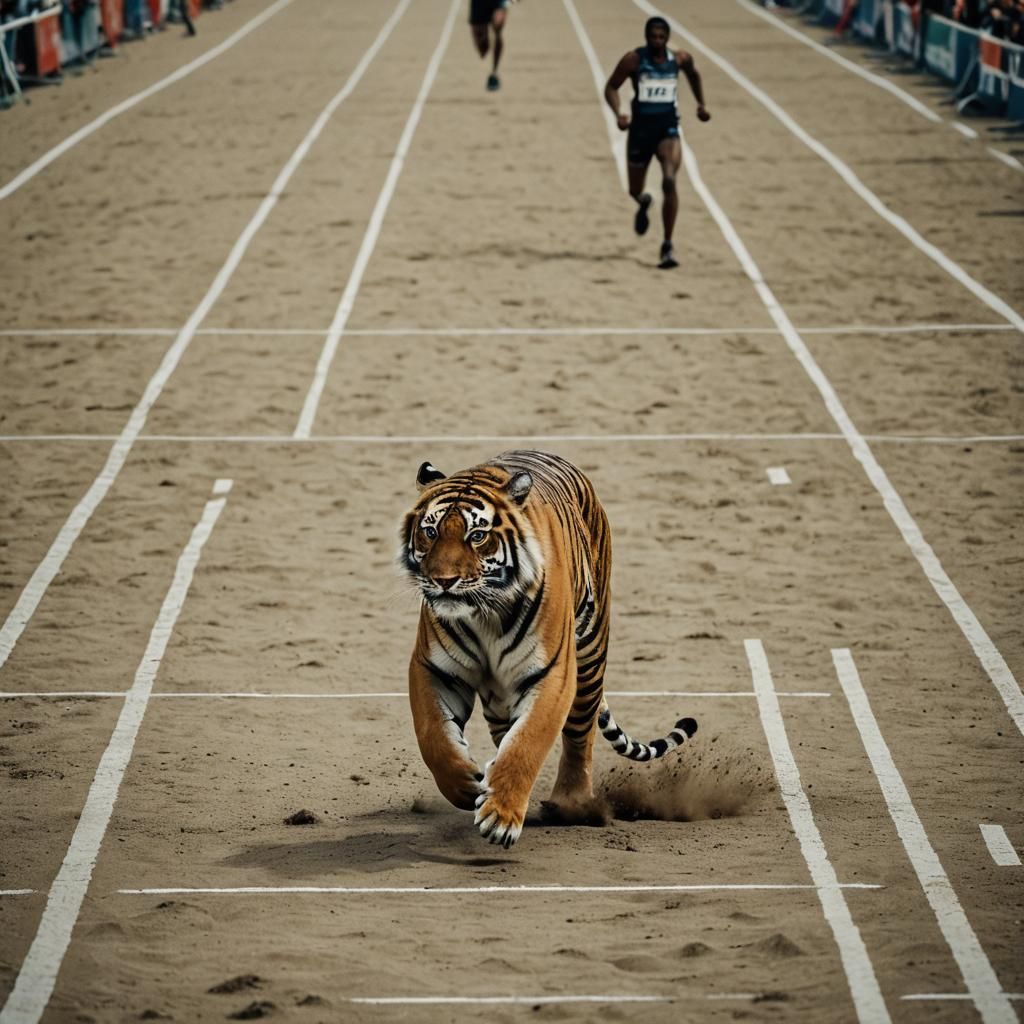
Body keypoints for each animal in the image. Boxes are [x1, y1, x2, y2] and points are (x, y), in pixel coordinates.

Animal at [398, 450, 697, 848]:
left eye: (477, 536)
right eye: (430, 531)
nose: (444, 582)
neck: (485, 614)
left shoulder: (553, 673)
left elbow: (528, 741)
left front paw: (500, 816)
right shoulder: (434, 669)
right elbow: (434, 736)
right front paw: (465, 784)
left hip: (589, 658)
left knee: (579, 738)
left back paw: (572, 805)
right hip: (499, 694)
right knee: (504, 731)